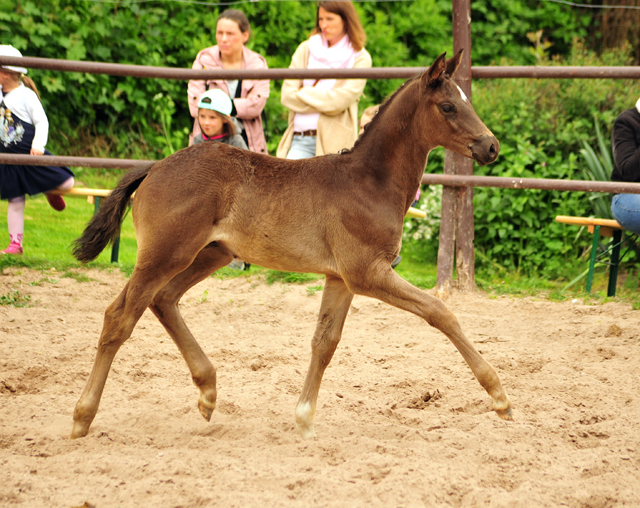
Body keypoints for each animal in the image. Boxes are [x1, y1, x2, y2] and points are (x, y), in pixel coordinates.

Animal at [70, 52, 512, 440]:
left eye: (466, 101)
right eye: (448, 106)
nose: (491, 146)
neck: (370, 182)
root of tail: (154, 168)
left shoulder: (340, 279)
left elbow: (324, 343)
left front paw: (304, 420)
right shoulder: (367, 273)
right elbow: (441, 312)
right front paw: (499, 396)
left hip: (210, 254)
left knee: (163, 300)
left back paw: (208, 393)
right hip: (165, 255)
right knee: (119, 317)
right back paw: (82, 417)